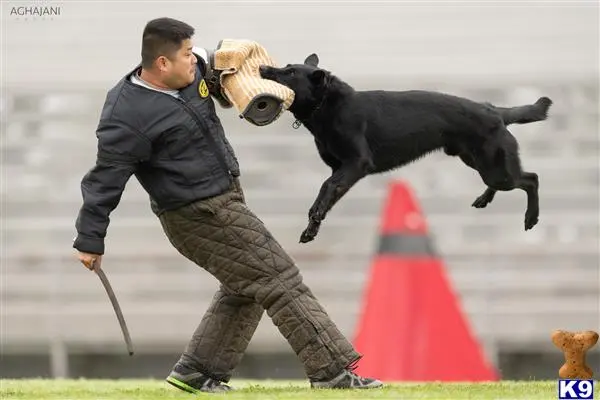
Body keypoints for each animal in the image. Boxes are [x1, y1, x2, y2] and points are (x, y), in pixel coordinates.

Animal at [258, 54, 552, 242]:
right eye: (285, 66)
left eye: (290, 73)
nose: (261, 68)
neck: (327, 106)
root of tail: (496, 111)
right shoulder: (339, 168)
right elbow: (328, 192)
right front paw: (313, 226)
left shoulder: (356, 164)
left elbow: (326, 189)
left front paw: (312, 222)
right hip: (479, 162)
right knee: (508, 180)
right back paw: (484, 199)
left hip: (495, 169)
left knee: (531, 179)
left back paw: (531, 218)